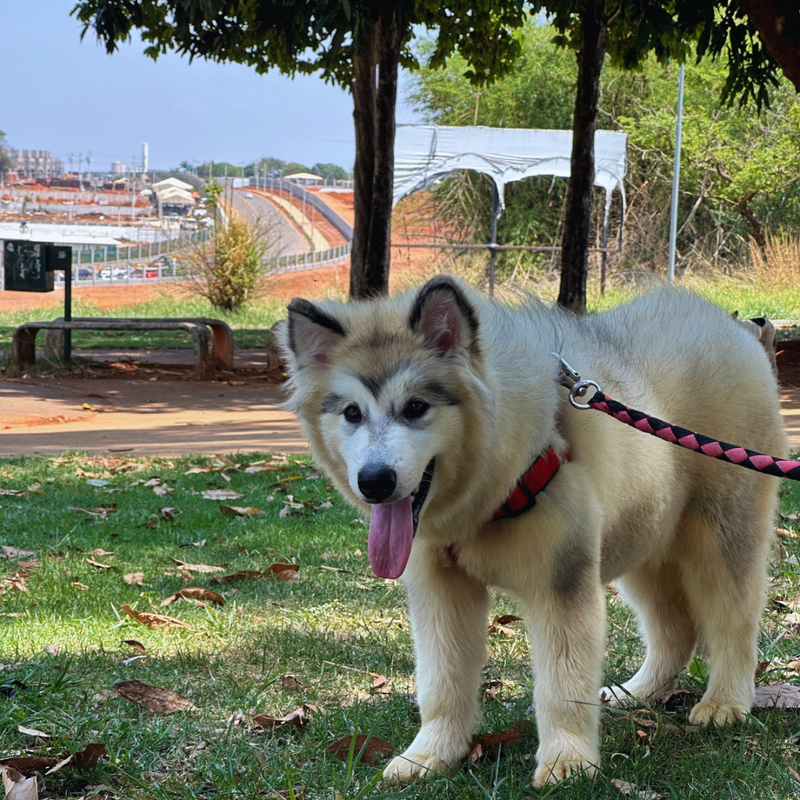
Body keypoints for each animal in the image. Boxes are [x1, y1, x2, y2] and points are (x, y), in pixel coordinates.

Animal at [278, 280, 784, 788]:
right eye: (351, 412)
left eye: (416, 407)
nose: (375, 482)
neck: (489, 495)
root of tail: (730, 326)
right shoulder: (440, 589)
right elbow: (441, 681)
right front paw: (430, 755)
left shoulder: (562, 582)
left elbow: (561, 684)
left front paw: (568, 762)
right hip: (644, 536)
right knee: (674, 627)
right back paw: (635, 693)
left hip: (721, 535)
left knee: (734, 620)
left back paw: (725, 702)